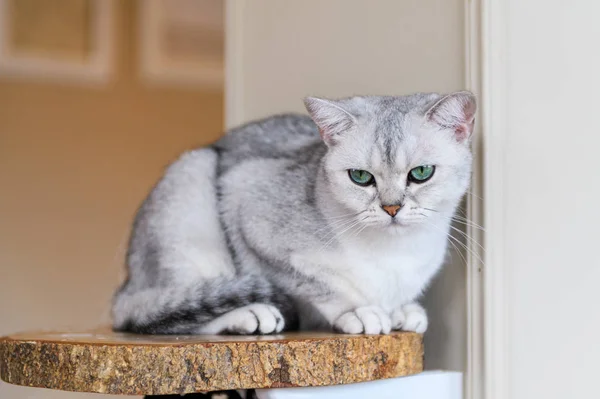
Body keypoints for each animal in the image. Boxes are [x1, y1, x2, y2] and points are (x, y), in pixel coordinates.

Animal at [112, 91, 476, 338]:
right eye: (360, 177)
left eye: (421, 173)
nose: (391, 208)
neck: (395, 254)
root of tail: (128, 284)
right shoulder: (250, 214)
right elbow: (318, 283)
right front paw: (358, 310)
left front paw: (403, 309)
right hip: (192, 184)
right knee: (164, 314)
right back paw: (251, 314)